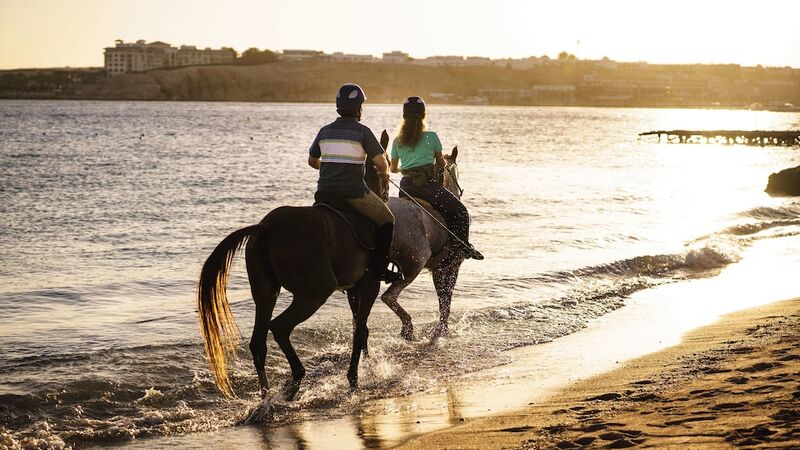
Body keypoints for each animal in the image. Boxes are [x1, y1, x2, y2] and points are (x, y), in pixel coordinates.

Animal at [197, 133, 390, 398]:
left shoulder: (354, 289)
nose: (386, 194)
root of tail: (266, 227)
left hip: (266, 294)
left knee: (258, 343)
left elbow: (361, 329)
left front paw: (366, 368)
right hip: (313, 294)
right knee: (279, 327)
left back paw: (266, 396)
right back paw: (295, 379)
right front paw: (354, 379)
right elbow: (359, 331)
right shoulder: (369, 286)